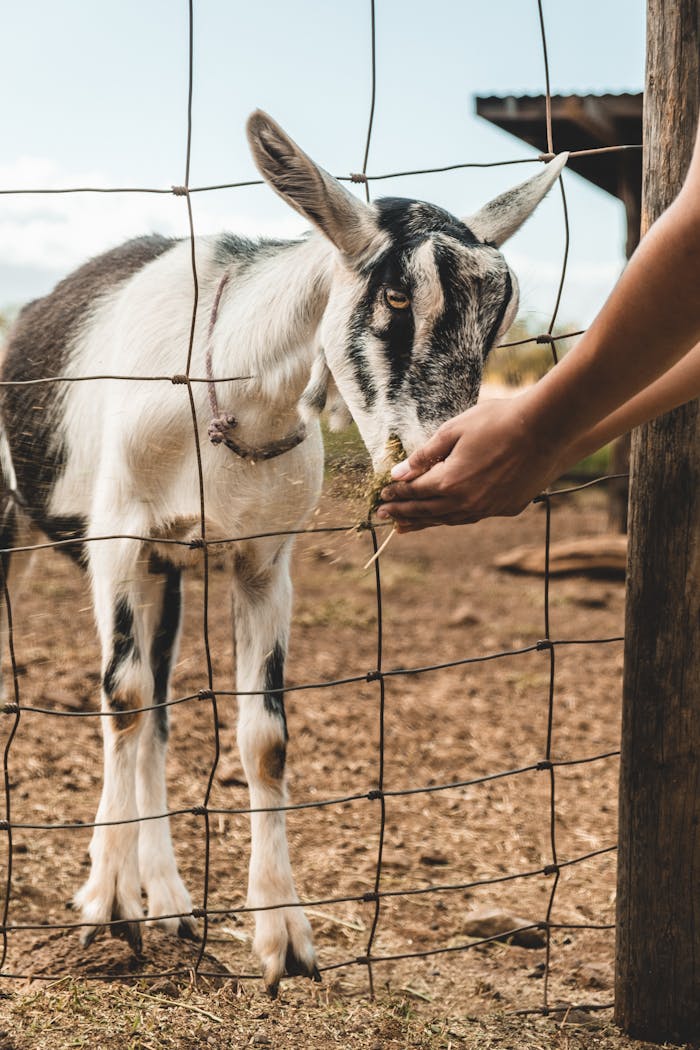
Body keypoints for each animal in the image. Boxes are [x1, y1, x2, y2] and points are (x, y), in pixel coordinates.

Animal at [0, 111, 566, 993]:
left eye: (498, 319)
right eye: (396, 295)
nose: (440, 455)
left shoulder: (265, 562)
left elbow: (261, 739)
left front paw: (283, 940)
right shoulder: (119, 536)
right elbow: (121, 699)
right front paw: (107, 910)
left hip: (168, 572)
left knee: (158, 712)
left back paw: (168, 898)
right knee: (126, 700)